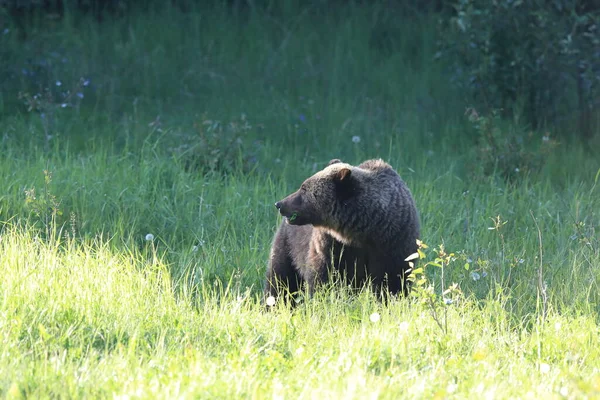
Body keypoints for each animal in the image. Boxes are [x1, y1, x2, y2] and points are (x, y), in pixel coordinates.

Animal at [264, 158, 420, 304]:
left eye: (303, 188)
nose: (279, 204)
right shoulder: (332, 244)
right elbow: (323, 276)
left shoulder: (394, 243)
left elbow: (393, 281)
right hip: (289, 245)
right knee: (280, 278)